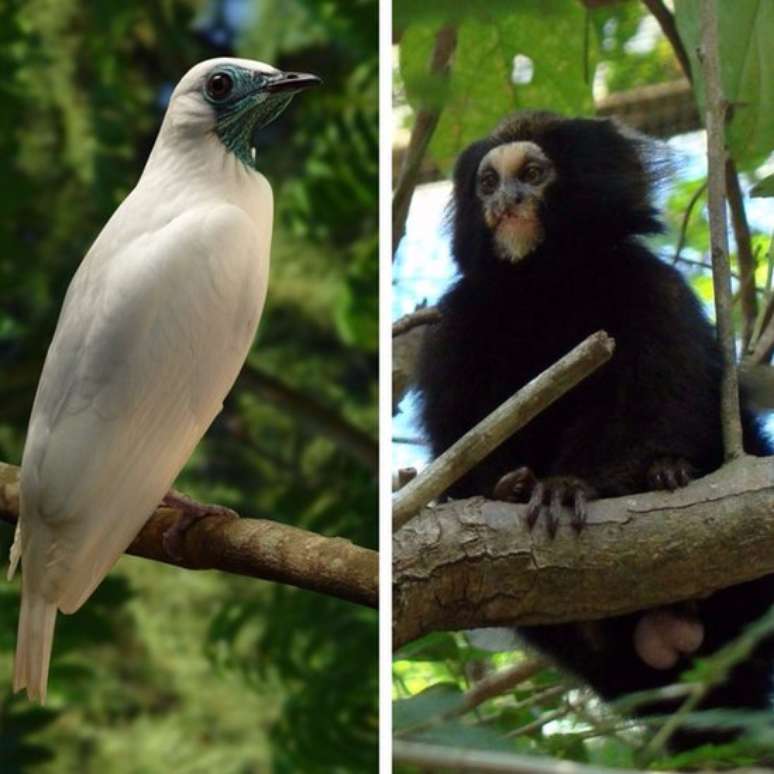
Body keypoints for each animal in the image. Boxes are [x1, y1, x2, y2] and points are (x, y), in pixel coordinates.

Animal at [414, 110, 774, 751]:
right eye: (487, 183)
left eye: (533, 174)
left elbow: (661, 396)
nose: (505, 200)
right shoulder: (458, 323)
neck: (549, 286)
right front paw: (506, 488)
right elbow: (461, 451)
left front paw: (572, 487)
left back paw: (666, 482)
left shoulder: (651, 285)